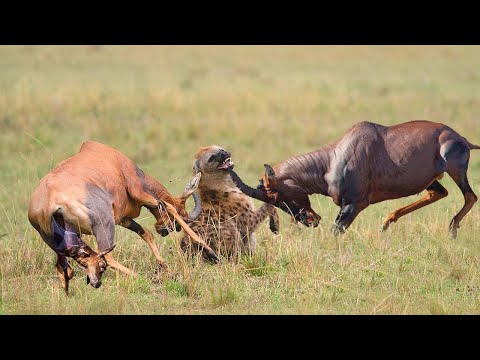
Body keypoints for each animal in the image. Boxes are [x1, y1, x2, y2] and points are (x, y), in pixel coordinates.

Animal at [27, 141, 218, 292]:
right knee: (106, 255)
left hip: (62, 239)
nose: (163, 230)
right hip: (104, 224)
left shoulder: (123, 219)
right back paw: (139, 276)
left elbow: (145, 233)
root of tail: (48, 202)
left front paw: (164, 265)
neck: (115, 158)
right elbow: (168, 206)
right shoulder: (139, 192)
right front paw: (211, 253)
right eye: (181, 218)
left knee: (72, 263)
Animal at [230, 121, 480, 238]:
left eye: (278, 195)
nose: (310, 220)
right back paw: (387, 222)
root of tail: (461, 138)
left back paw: (453, 229)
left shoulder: (354, 205)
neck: (333, 160)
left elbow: (335, 232)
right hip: (429, 180)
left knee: (470, 196)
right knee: (438, 193)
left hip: (456, 169)